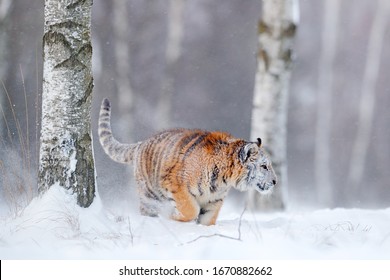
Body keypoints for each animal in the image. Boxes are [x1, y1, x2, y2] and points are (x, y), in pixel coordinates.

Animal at [97, 98, 278, 225]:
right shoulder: (176, 185)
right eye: (264, 166)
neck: (224, 180)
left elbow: (208, 220)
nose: (275, 181)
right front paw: (173, 216)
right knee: (146, 209)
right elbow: (190, 209)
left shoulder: (214, 201)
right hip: (150, 195)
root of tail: (141, 144)